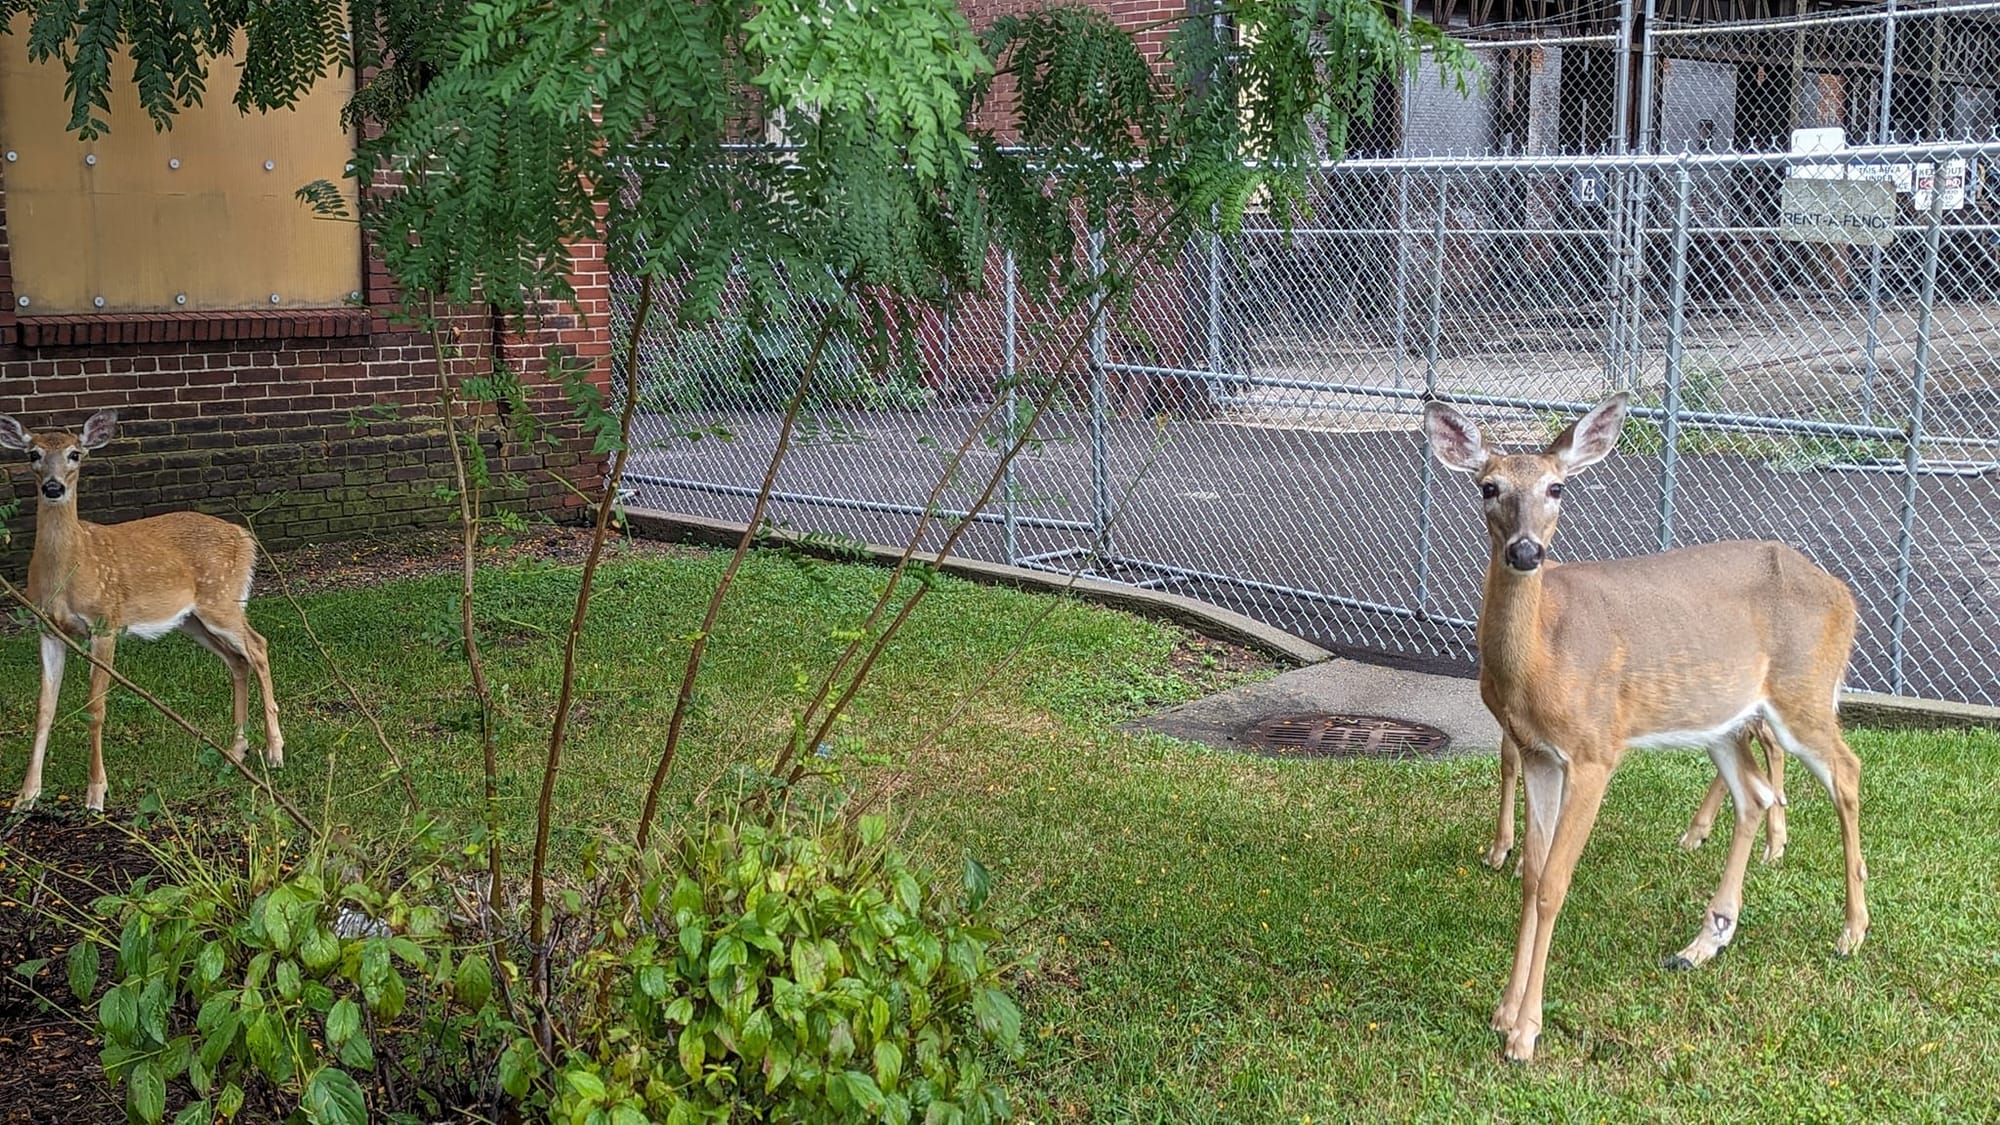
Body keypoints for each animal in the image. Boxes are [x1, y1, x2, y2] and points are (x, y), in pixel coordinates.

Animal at [0, 410, 283, 813]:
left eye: (75, 454)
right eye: (33, 454)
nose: (53, 488)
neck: (69, 569)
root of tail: (245, 537)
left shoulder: (105, 621)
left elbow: (96, 708)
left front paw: (96, 794)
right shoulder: (48, 628)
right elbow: (43, 709)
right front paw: (26, 797)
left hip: (221, 599)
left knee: (258, 646)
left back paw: (275, 752)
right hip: (192, 620)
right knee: (237, 660)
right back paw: (236, 750)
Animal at [1423, 392, 1868, 1064]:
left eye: (1557, 486)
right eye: (1488, 487)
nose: (1526, 552)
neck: (1543, 654)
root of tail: (1845, 593)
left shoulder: (1595, 749)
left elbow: (1554, 882)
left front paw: (1526, 1033)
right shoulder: (1537, 752)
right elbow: (1530, 875)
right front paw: (1503, 1012)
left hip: (1804, 691)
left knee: (1846, 770)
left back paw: (1852, 931)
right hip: (1724, 719)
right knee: (1756, 793)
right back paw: (1704, 941)